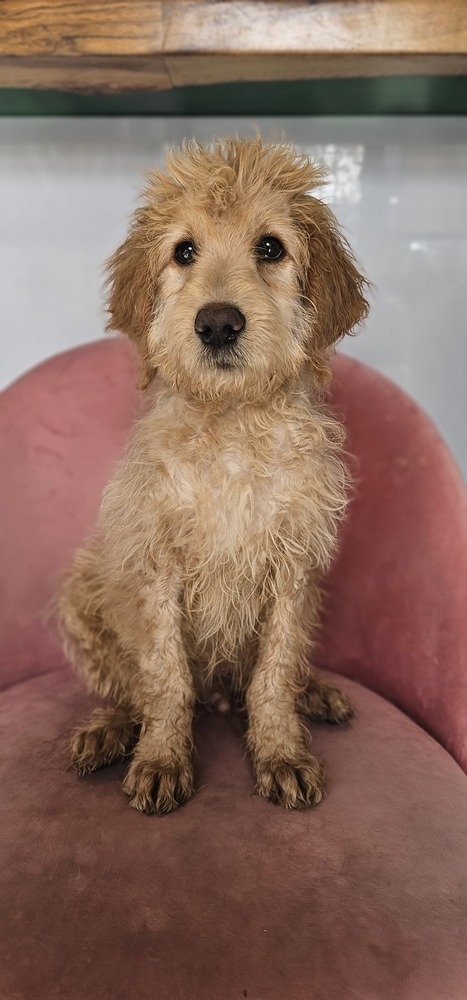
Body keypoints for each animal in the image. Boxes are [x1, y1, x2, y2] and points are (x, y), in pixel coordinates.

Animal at [57, 135, 370, 812]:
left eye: (271, 247)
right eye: (185, 251)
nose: (219, 323)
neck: (231, 431)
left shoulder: (292, 566)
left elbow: (274, 675)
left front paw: (281, 752)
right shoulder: (157, 566)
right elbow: (165, 677)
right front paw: (161, 758)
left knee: (269, 675)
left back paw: (314, 693)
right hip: (83, 589)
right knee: (134, 689)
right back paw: (111, 730)